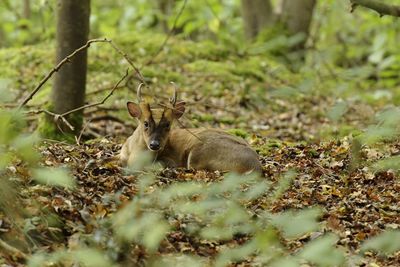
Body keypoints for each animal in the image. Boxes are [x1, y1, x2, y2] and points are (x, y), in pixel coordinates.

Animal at [119, 85, 262, 175]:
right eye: (145, 123)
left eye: (168, 125)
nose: (155, 145)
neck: (133, 156)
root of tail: (255, 165)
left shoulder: (169, 159)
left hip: (198, 153)